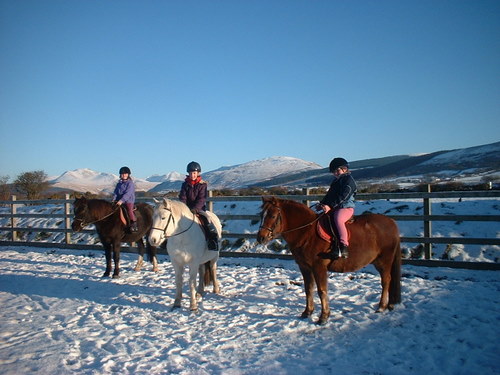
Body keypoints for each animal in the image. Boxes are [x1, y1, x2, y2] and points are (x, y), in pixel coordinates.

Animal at [258, 197, 402, 326]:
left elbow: (322, 291)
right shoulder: (304, 267)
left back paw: (381, 306)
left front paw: (324, 317)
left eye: (272, 216)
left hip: (384, 261)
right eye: (261, 215)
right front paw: (307, 312)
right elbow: (308, 289)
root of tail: (392, 222)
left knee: (386, 281)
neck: (307, 232)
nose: (261, 238)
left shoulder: (319, 267)